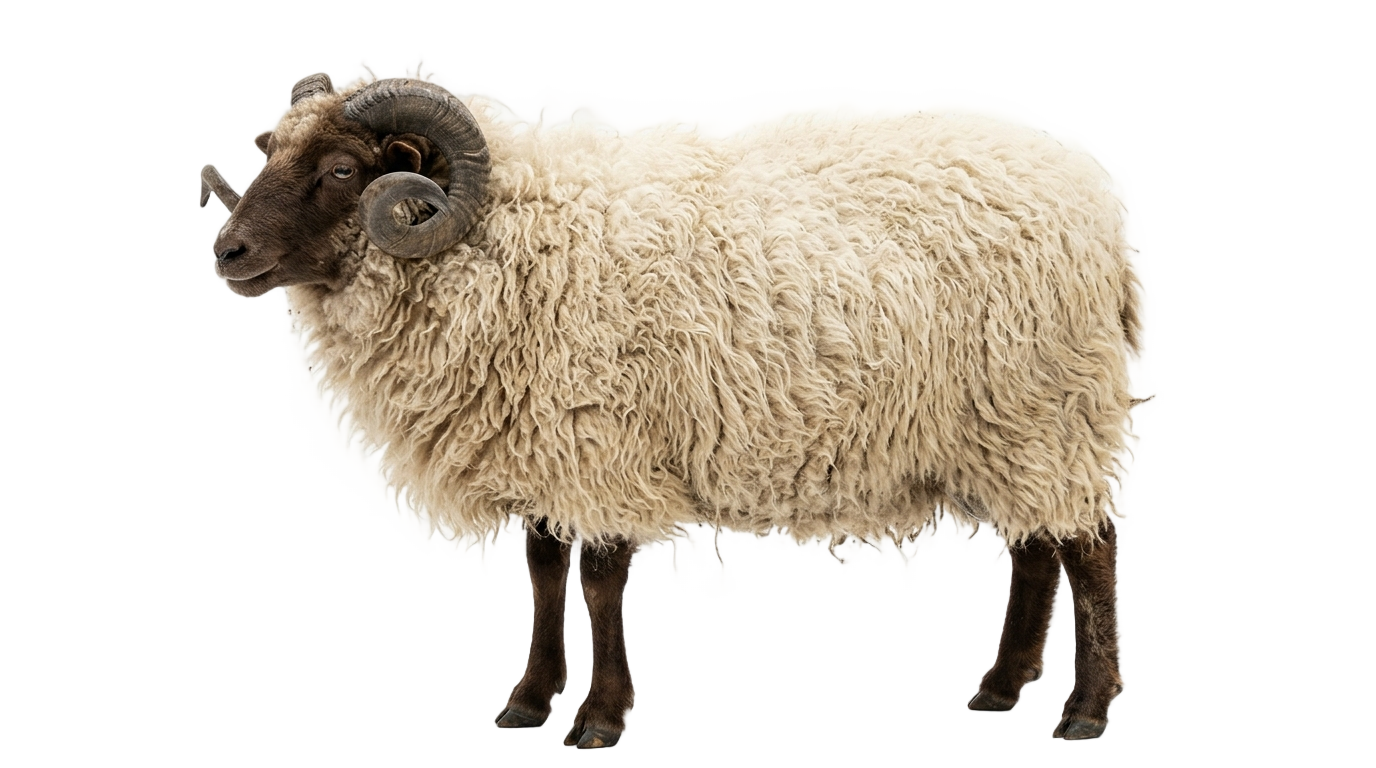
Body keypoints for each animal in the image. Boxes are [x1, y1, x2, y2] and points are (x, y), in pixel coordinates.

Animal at [201, 72, 1140, 748]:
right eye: (271, 150)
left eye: (341, 170)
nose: (227, 253)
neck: (499, 242)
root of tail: (1089, 200)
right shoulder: (541, 445)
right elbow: (542, 570)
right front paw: (526, 703)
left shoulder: (600, 443)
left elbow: (599, 579)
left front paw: (598, 718)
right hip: (1012, 428)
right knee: (1037, 547)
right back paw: (1000, 690)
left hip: (1049, 408)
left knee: (1087, 546)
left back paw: (1085, 713)